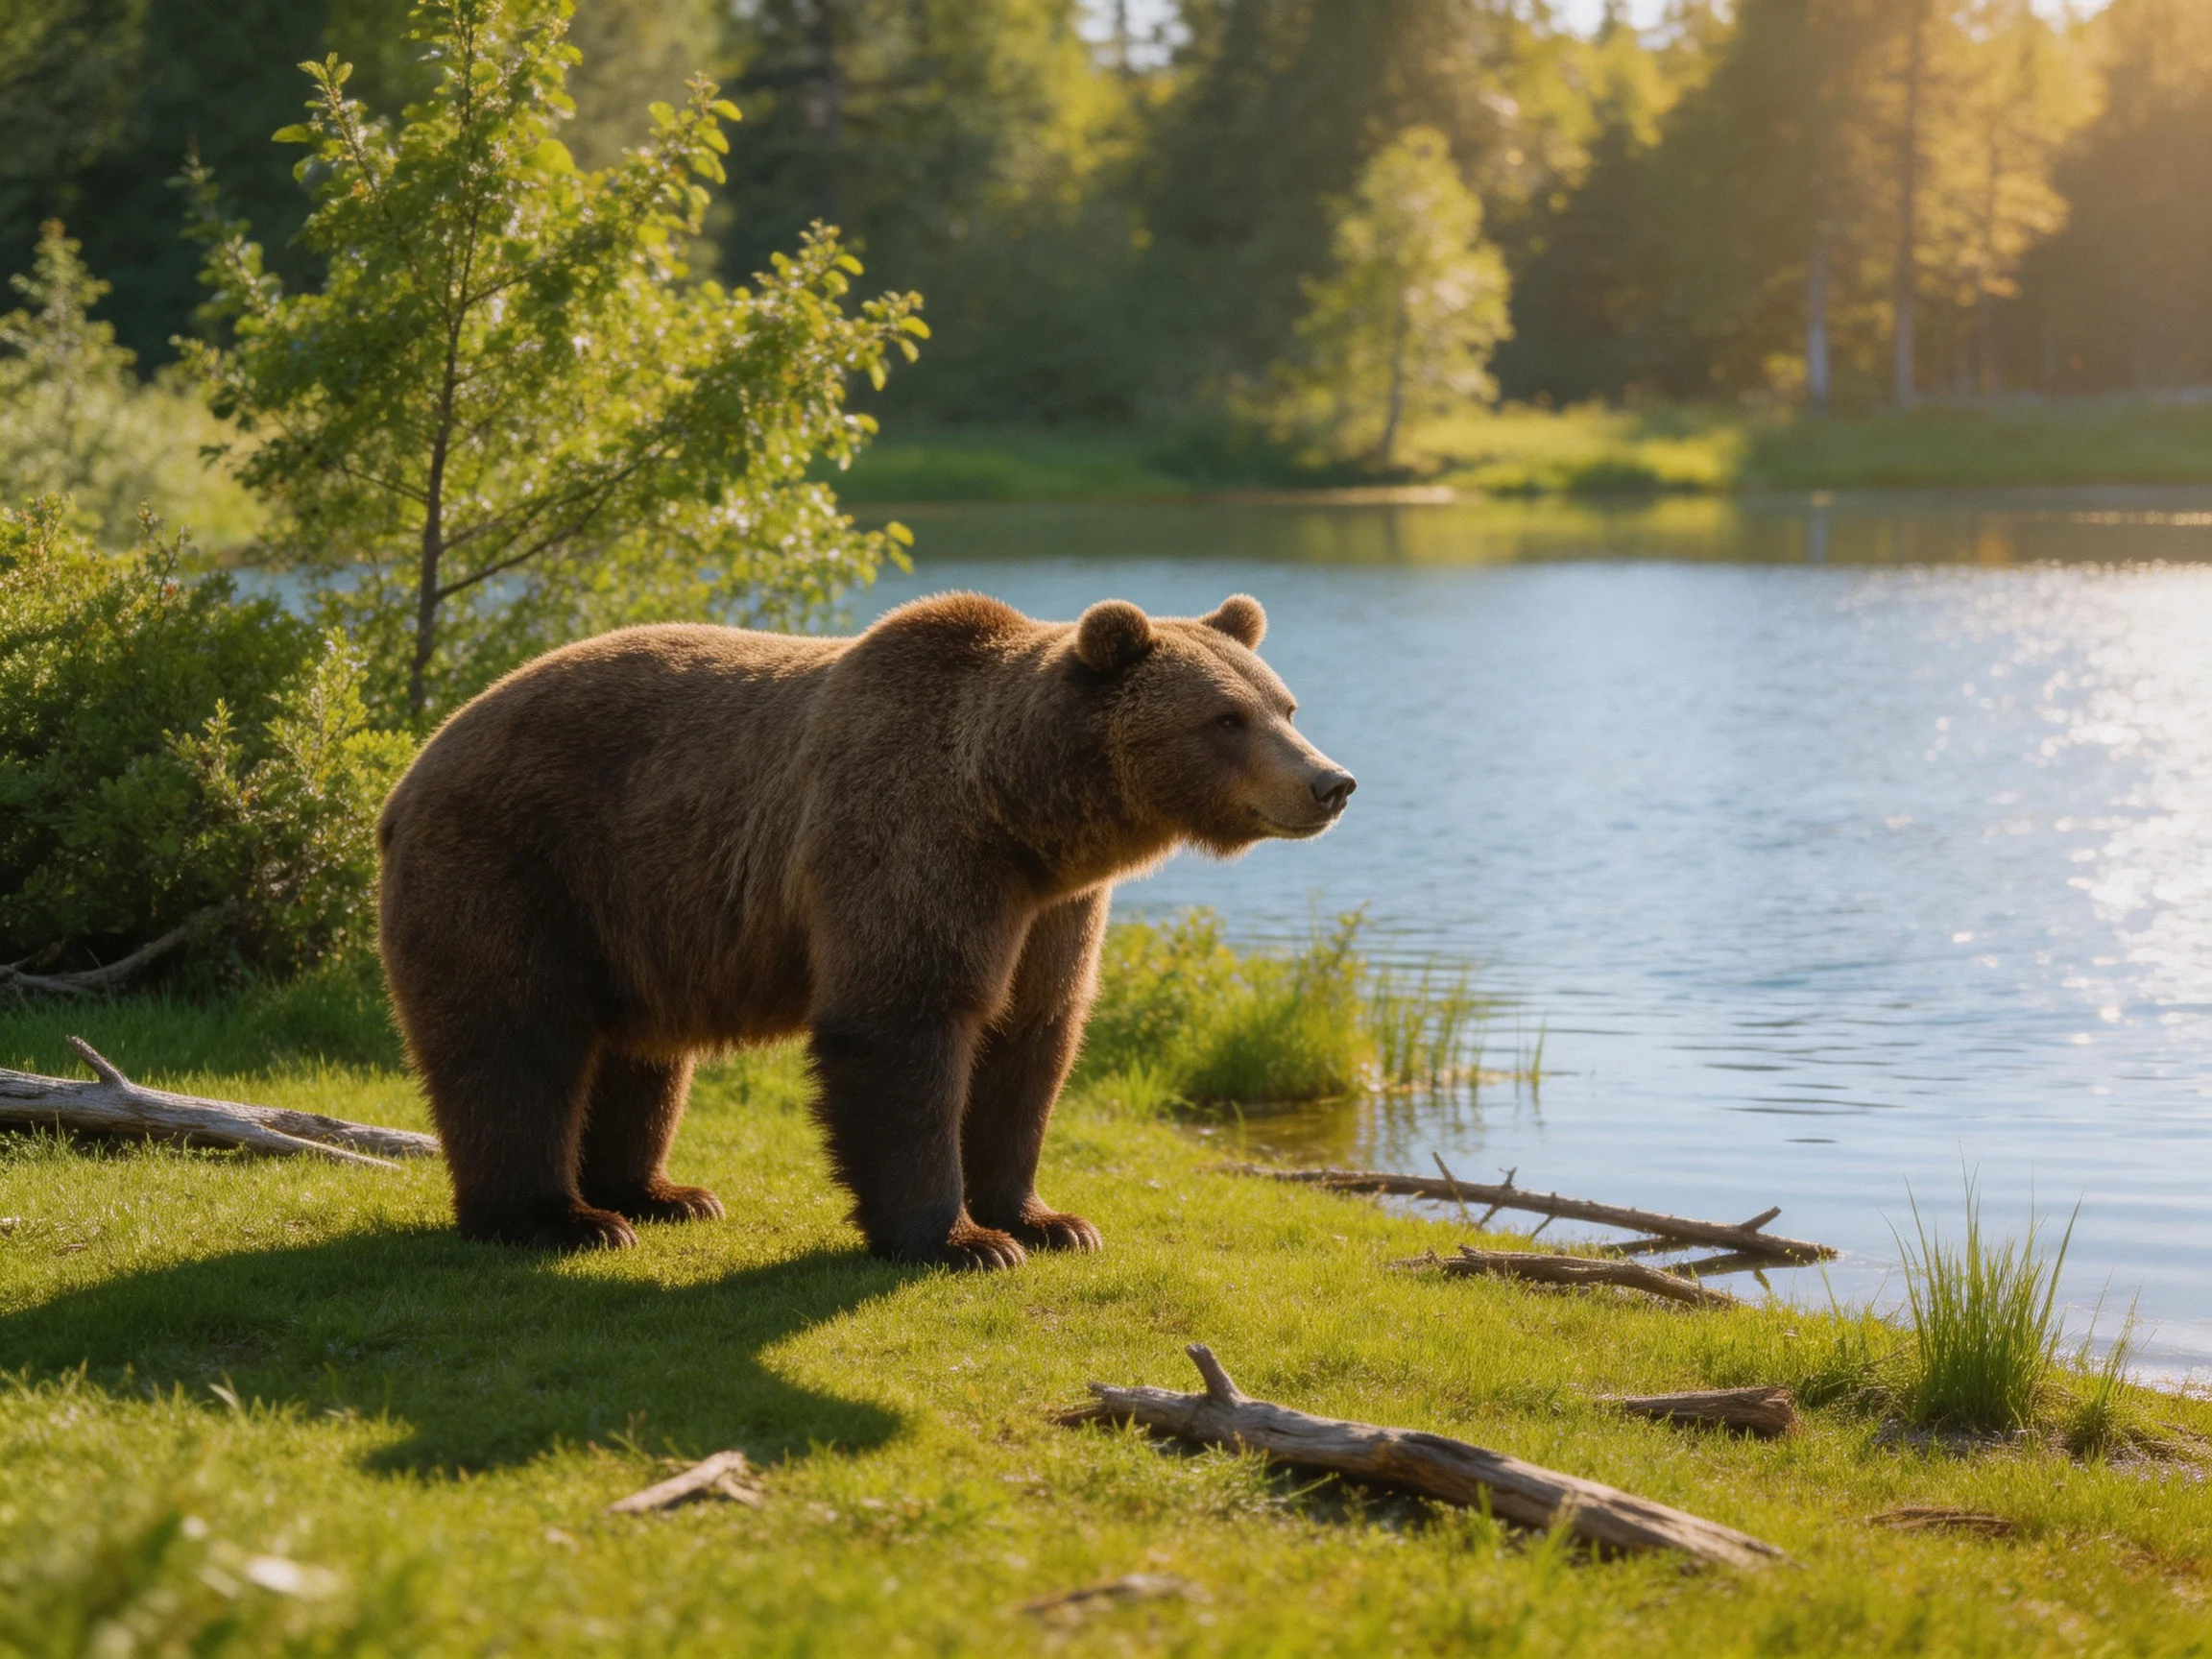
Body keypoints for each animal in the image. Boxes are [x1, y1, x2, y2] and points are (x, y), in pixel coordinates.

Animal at [375, 591, 1355, 1267]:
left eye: (1285, 706)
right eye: (1225, 718)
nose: (1331, 782)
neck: (1022, 817)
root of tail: (416, 763)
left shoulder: (1054, 911)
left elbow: (1033, 1038)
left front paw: (1046, 1219)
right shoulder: (910, 841)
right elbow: (906, 1022)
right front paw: (959, 1240)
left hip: (636, 915)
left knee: (640, 1055)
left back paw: (662, 1193)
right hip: (516, 862)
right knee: (510, 1036)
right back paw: (559, 1219)